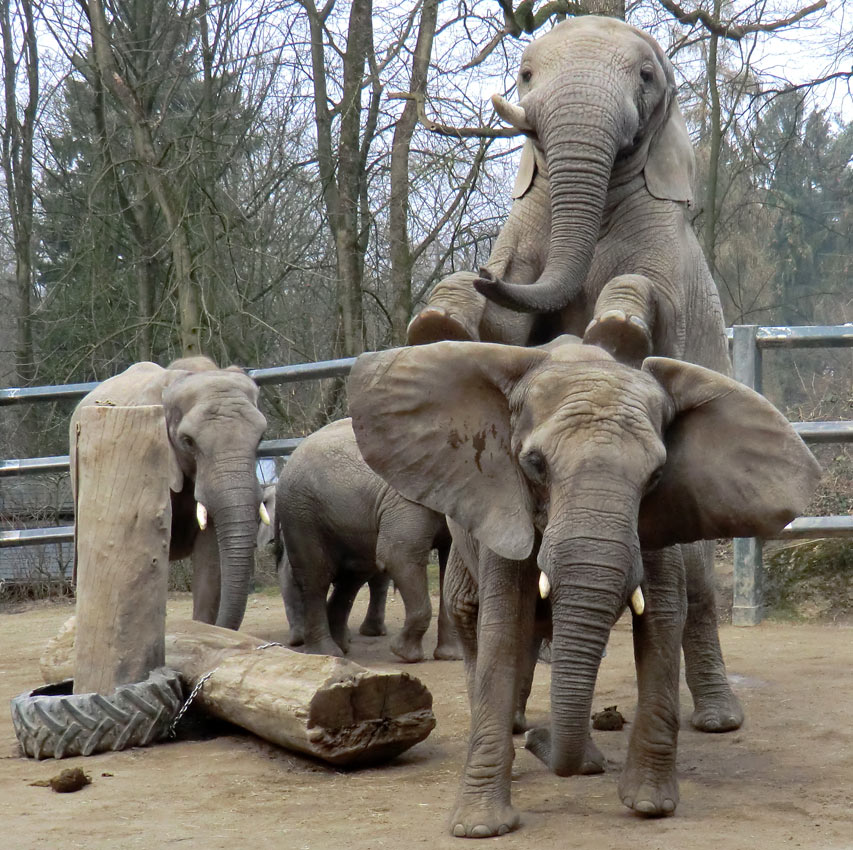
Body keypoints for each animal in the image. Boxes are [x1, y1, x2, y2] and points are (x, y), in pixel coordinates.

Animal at [272, 418, 460, 664]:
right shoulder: (409, 493)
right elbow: (398, 555)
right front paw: (405, 655)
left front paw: (450, 656)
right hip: (301, 512)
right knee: (317, 576)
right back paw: (327, 652)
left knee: (352, 577)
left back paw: (341, 647)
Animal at [350, 336, 824, 836]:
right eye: (534, 464)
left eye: (656, 476)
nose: (539, 739)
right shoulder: (504, 503)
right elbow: (502, 627)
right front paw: (479, 827)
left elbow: (662, 620)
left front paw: (649, 804)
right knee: (470, 618)